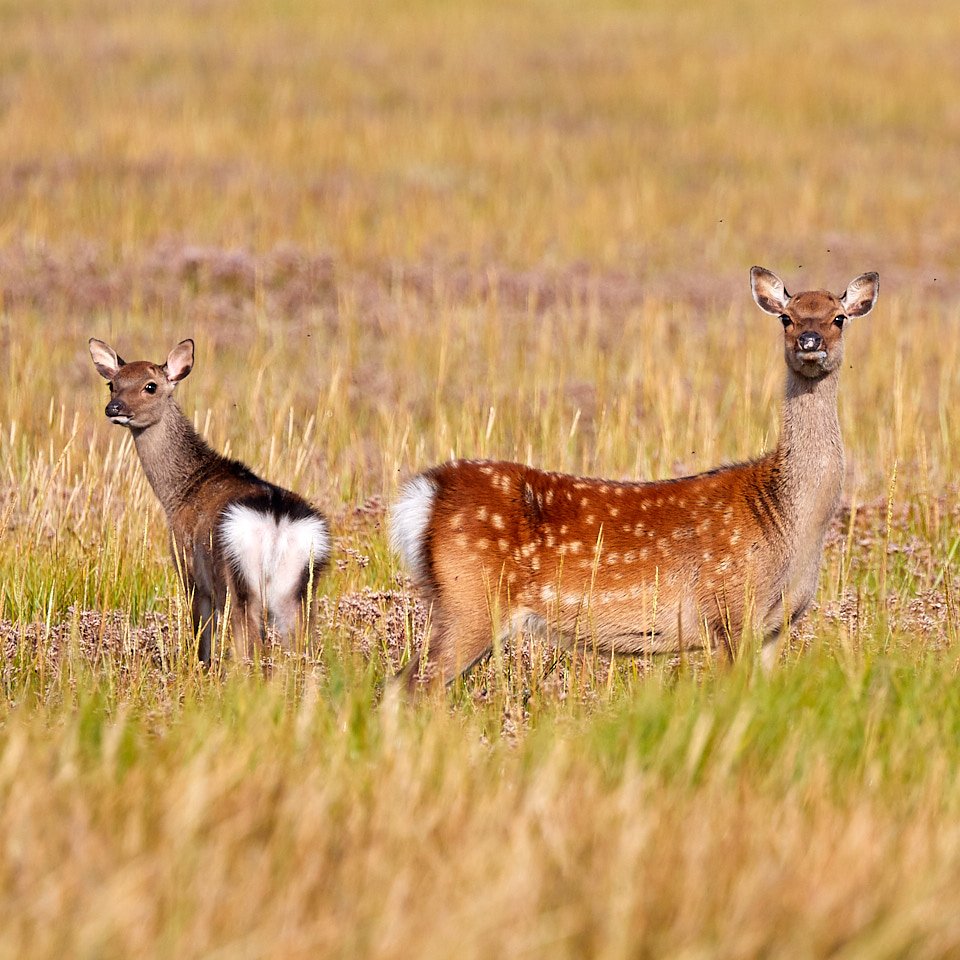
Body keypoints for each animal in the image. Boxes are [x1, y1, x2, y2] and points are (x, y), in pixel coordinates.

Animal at [88, 338, 331, 665]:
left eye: (150, 386)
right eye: (112, 384)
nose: (114, 408)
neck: (179, 491)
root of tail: (278, 519)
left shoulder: (188, 566)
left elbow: (202, 638)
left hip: (236, 579)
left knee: (249, 644)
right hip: (300, 588)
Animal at [389, 267, 879, 690]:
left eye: (838, 317)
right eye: (786, 317)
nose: (810, 340)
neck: (787, 524)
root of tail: (425, 495)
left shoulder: (777, 628)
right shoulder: (729, 611)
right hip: (470, 600)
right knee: (409, 688)